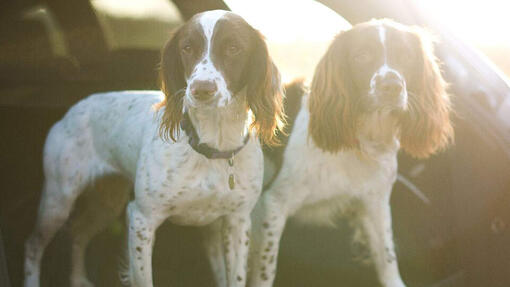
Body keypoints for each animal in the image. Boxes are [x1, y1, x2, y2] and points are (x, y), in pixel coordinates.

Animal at [23, 9, 284, 287]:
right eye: (187, 47)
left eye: (234, 48)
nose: (201, 89)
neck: (211, 147)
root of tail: (71, 111)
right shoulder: (141, 218)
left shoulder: (237, 222)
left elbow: (235, 277)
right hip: (58, 201)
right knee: (34, 245)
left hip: (108, 201)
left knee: (78, 233)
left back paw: (78, 278)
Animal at [249, 19, 452, 286]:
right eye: (361, 56)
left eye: (406, 56)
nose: (392, 86)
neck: (360, 141)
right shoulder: (273, 204)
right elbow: (265, 269)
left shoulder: (375, 202)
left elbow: (387, 258)